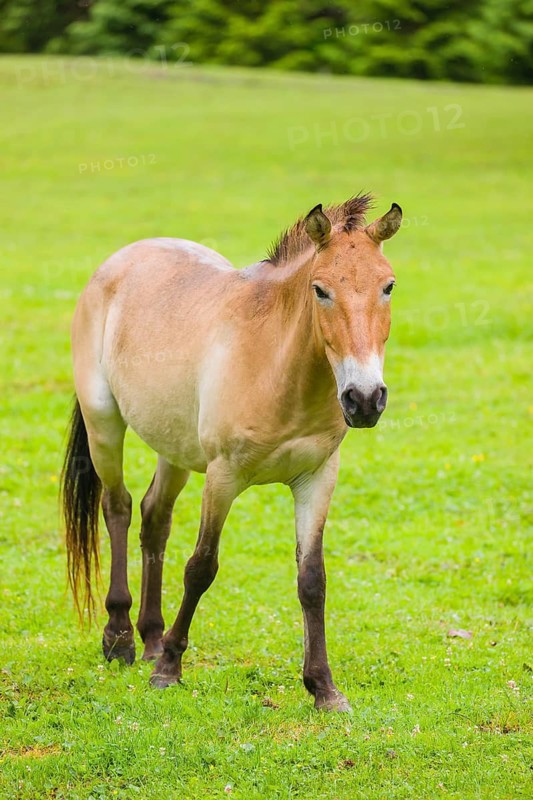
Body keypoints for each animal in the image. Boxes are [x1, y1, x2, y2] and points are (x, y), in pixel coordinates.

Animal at [61, 194, 402, 711]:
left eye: (388, 286)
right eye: (320, 290)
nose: (364, 399)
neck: (277, 365)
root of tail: (121, 260)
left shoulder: (318, 477)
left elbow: (312, 580)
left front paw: (323, 687)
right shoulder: (223, 477)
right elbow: (201, 567)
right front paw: (169, 670)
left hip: (174, 448)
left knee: (154, 518)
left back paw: (151, 636)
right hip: (104, 424)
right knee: (117, 507)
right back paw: (120, 638)